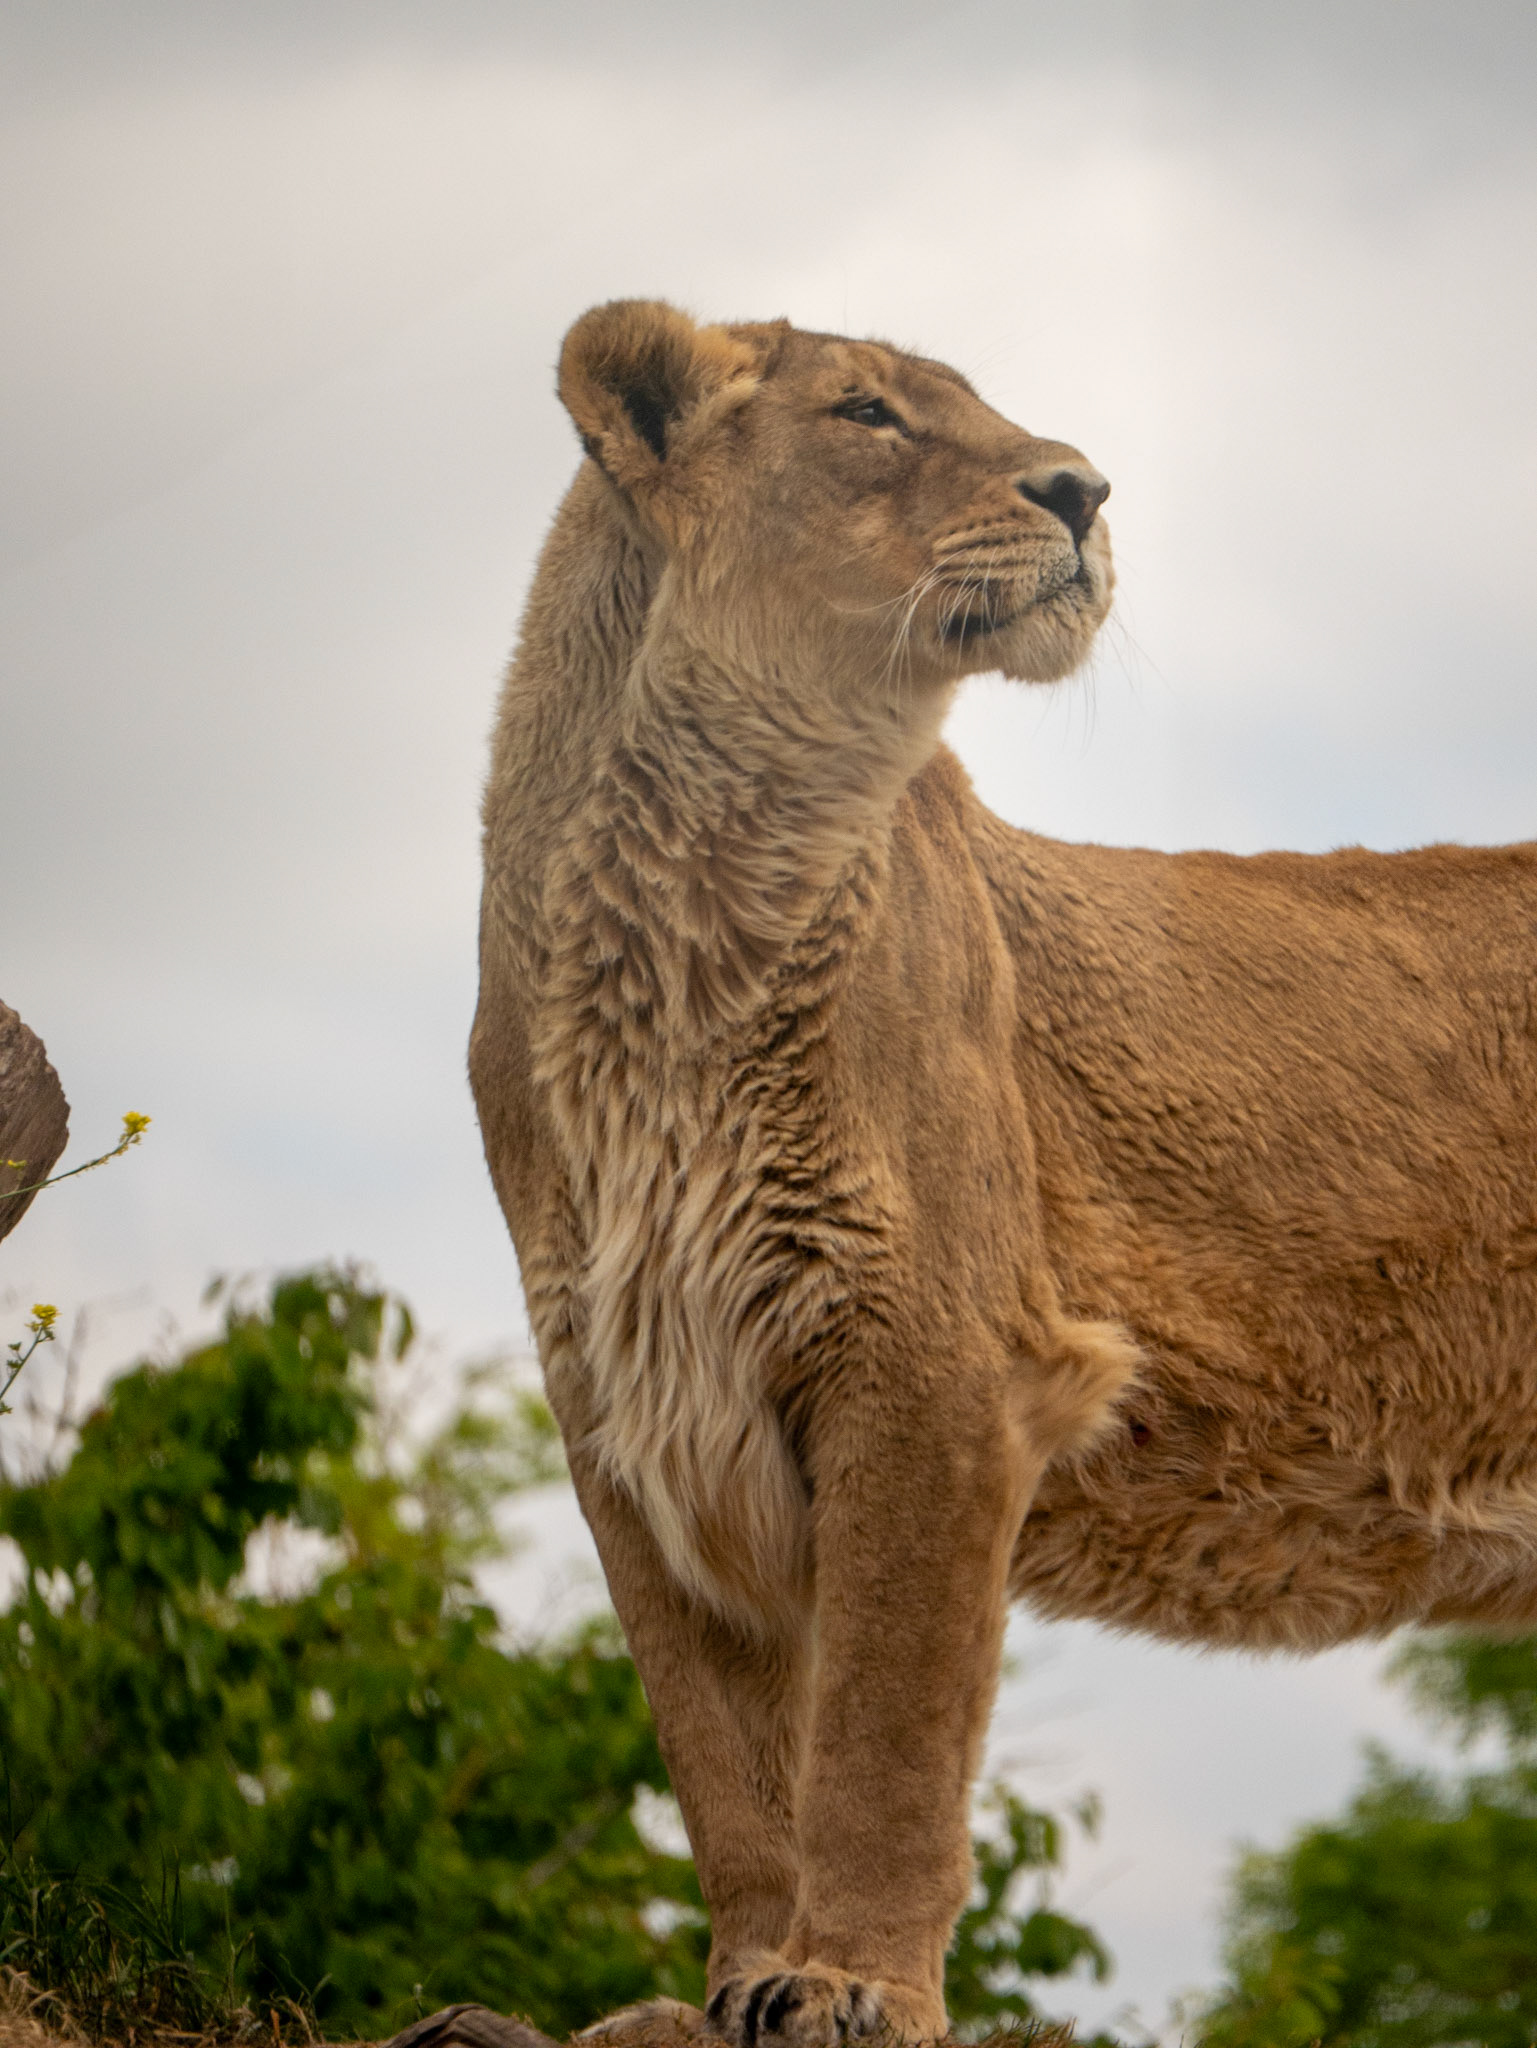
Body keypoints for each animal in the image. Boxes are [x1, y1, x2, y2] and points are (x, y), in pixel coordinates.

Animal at [469, 299, 1537, 2044]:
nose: (1085, 490)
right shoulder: (630, 1408)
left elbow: (883, 1735)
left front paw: (851, 1983)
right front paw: (736, 1982)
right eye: (866, 414)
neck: (677, 914)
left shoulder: (941, 1365)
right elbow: (726, 1763)